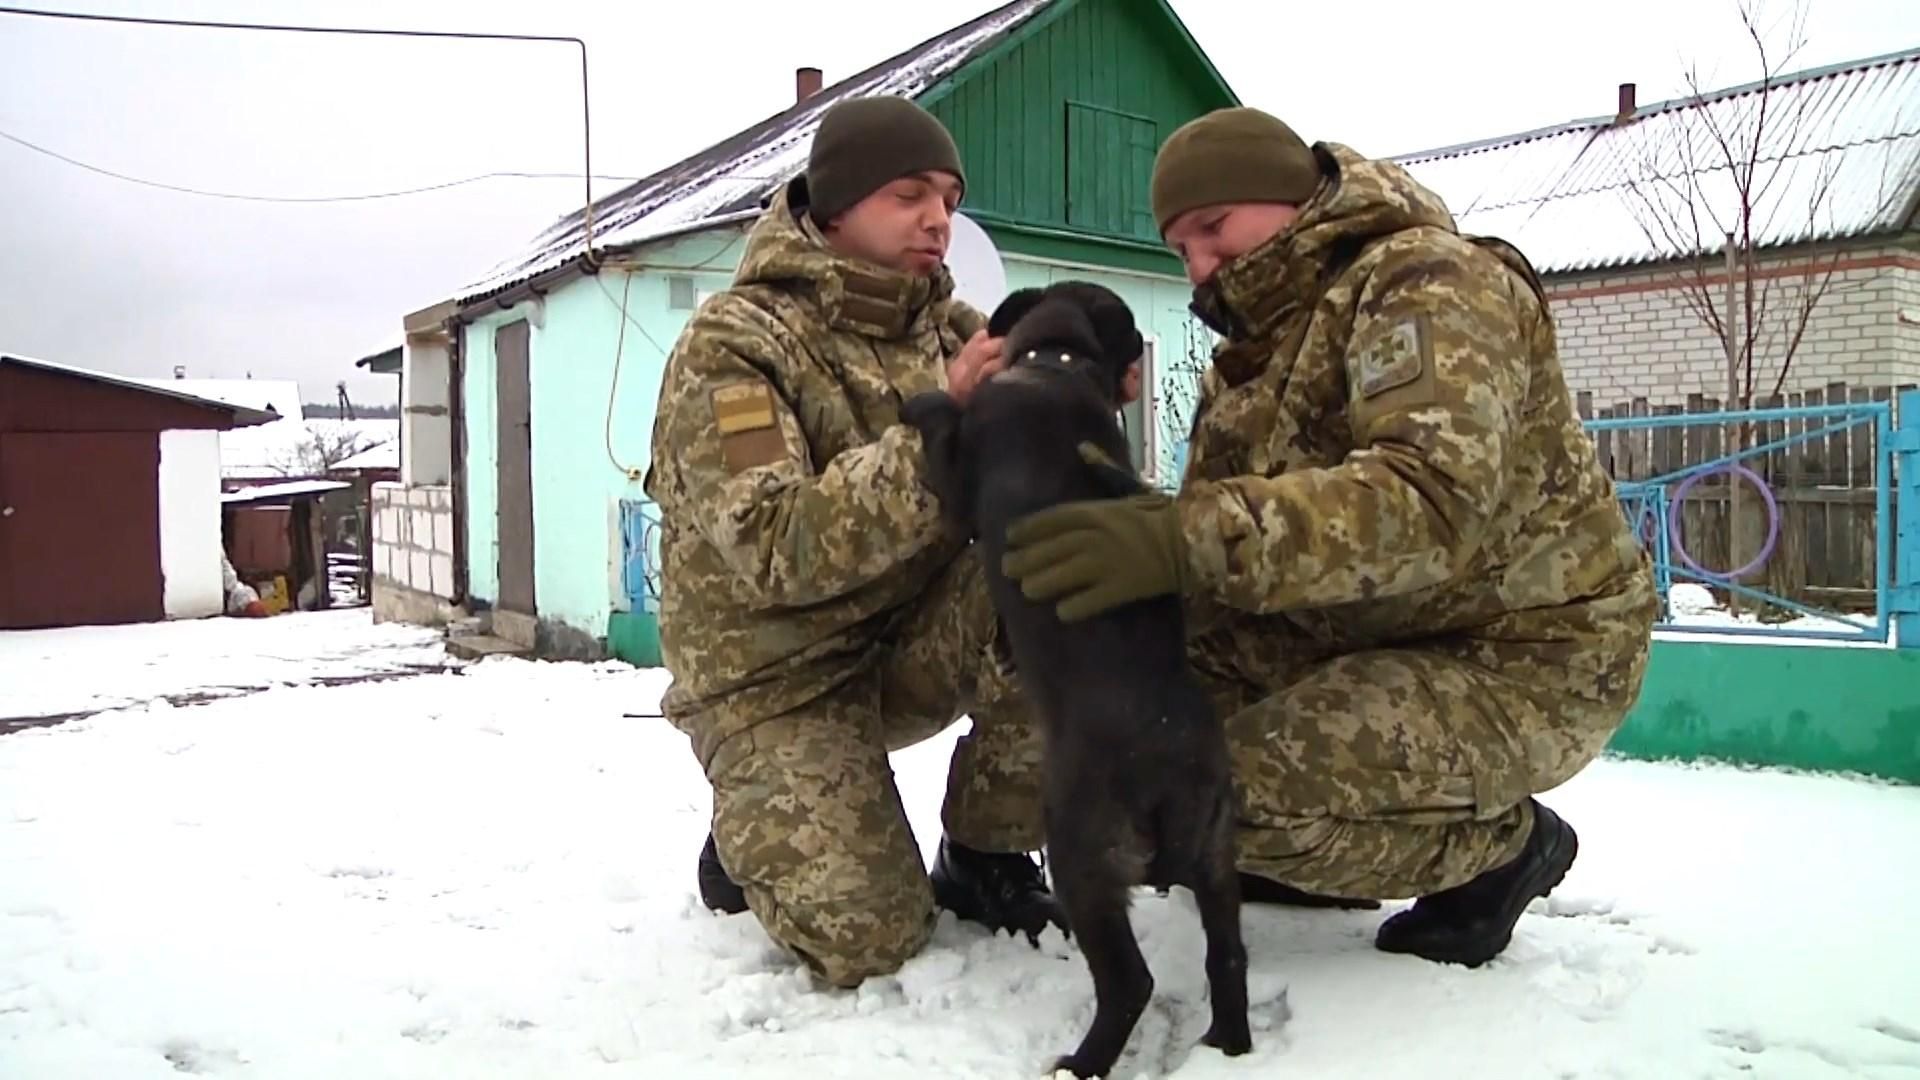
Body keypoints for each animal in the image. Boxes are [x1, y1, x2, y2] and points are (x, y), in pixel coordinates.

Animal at [894, 282, 1244, 1068]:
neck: (1055, 362)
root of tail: (1169, 766)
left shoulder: (957, 478)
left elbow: (940, 427)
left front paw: (923, 398)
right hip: (1216, 852)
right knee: (1227, 954)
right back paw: (1228, 1046)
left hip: (1081, 854)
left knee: (1130, 982)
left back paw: (1079, 1066)